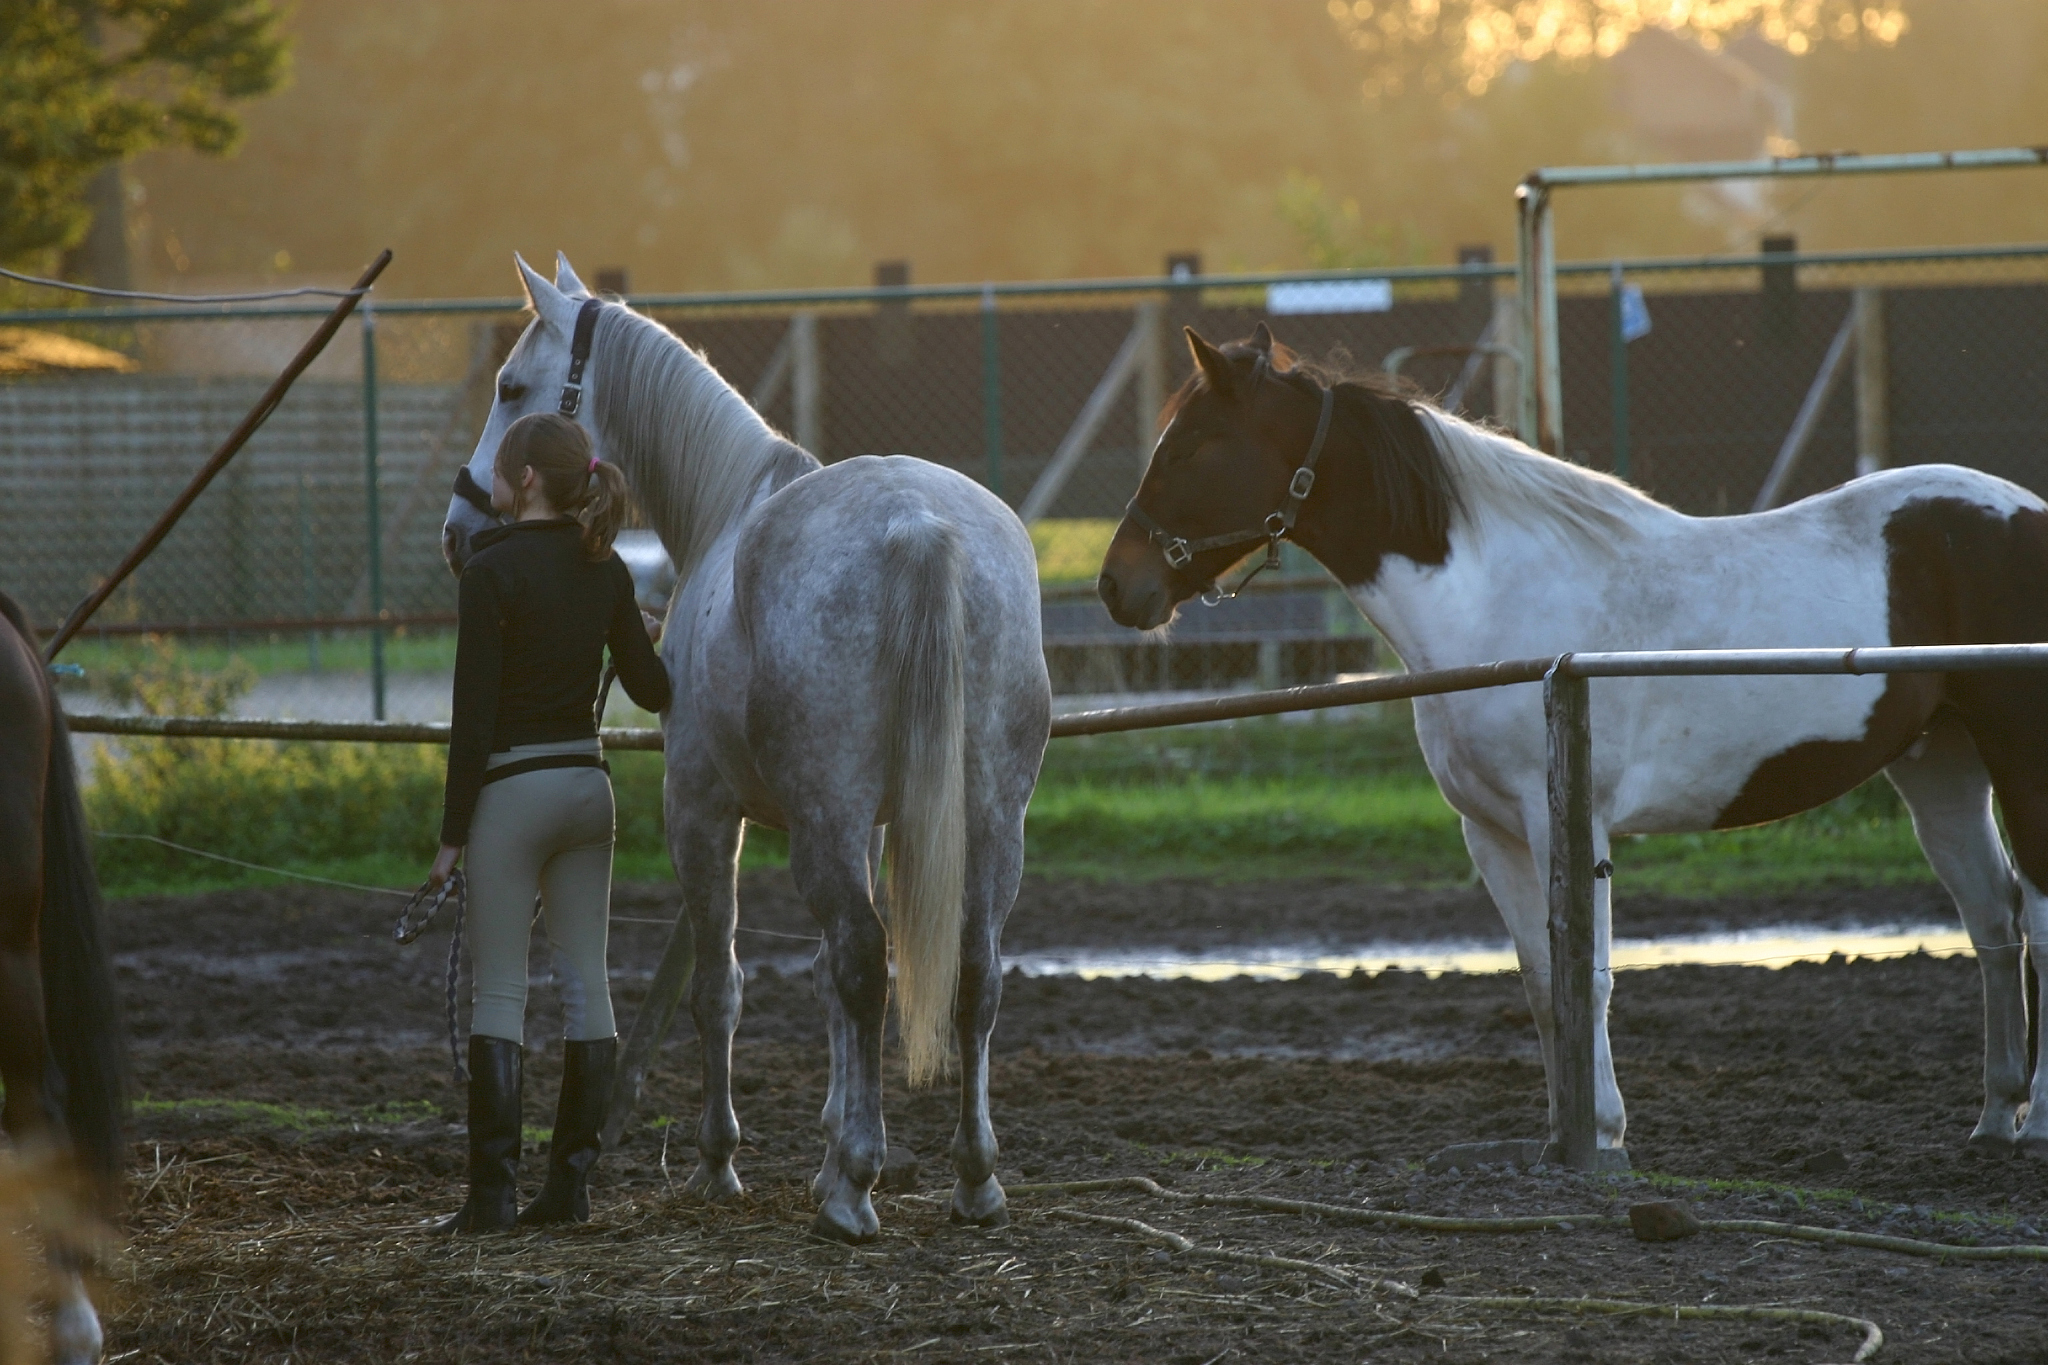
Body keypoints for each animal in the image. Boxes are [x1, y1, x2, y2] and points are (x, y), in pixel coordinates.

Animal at [441, 256, 1051, 1243]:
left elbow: (721, 985)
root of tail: (918, 525)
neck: (728, 507)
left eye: (512, 387)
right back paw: (972, 1178)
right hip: (990, 814)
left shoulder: (700, 810)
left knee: (863, 958)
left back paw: (854, 1191)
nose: (462, 528)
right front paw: (829, 1142)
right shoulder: (868, 825)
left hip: (825, 818)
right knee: (970, 972)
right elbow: (826, 986)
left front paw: (721, 1162)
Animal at [1098, 323, 2048, 1161]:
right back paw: (1993, 1118)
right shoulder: (1490, 831)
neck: (1493, 596)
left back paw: (2032, 1126)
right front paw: (1561, 1136)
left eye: (1195, 447)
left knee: (2033, 909)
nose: (1116, 587)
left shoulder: (1571, 821)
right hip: (1939, 764)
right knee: (1992, 916)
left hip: (2018, 751)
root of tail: (2026, 512)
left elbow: (1587, 974)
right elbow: (1541, 981)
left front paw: (1607, 1133)